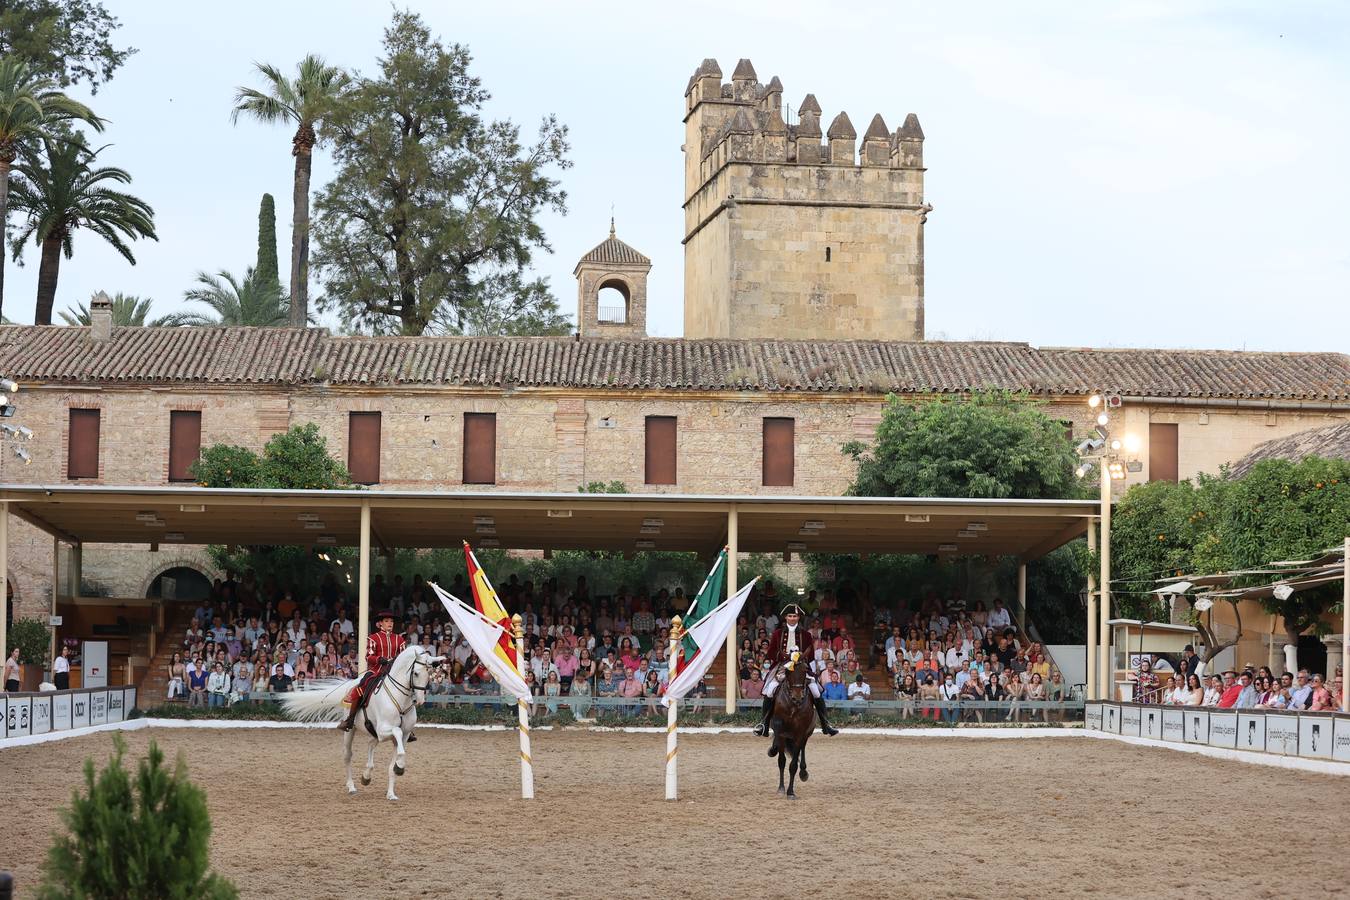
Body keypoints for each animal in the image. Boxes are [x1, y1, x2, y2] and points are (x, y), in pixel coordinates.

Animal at [280, 647, 445, 804]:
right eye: (416, 673)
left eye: (429, 673)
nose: (420, 700)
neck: (400, 700)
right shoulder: (383, 731)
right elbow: (397, 731)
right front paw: (399, 768)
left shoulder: (402, 737)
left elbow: (395, 760)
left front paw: (392, 790)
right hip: (351, 730)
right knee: (348, 755)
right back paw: (352, 787)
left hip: (373, 733)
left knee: (370, 744)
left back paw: (366, 776)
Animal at [772, 655, 810, 793]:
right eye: (788, 671)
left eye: (805, 670)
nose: (797, 698)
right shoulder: (781, 732)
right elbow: (781, 761)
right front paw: (781, 788)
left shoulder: (800, 733)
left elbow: (793, 765)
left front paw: (790, 792)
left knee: (802, 749)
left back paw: (803, 772)